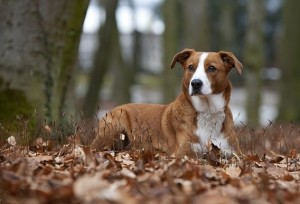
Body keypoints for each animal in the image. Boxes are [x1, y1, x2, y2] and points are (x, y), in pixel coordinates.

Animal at [92, 48, 243, 158]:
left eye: (211, 68)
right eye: (191, 67)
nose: (195, 83)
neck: (207, 111)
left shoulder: (234, 152)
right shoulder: (183, 152)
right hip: (117, 122)